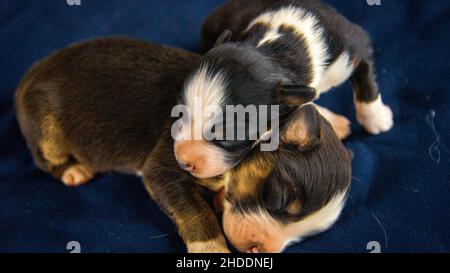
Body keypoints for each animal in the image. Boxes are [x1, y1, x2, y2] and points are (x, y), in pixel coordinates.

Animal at [174, 0, 392, 177]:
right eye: (180, 112)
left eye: (227, 135)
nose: (183, 163)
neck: (275, 47)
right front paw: (335, 122)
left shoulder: (353, 44)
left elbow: (366, 82)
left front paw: (377, 119)